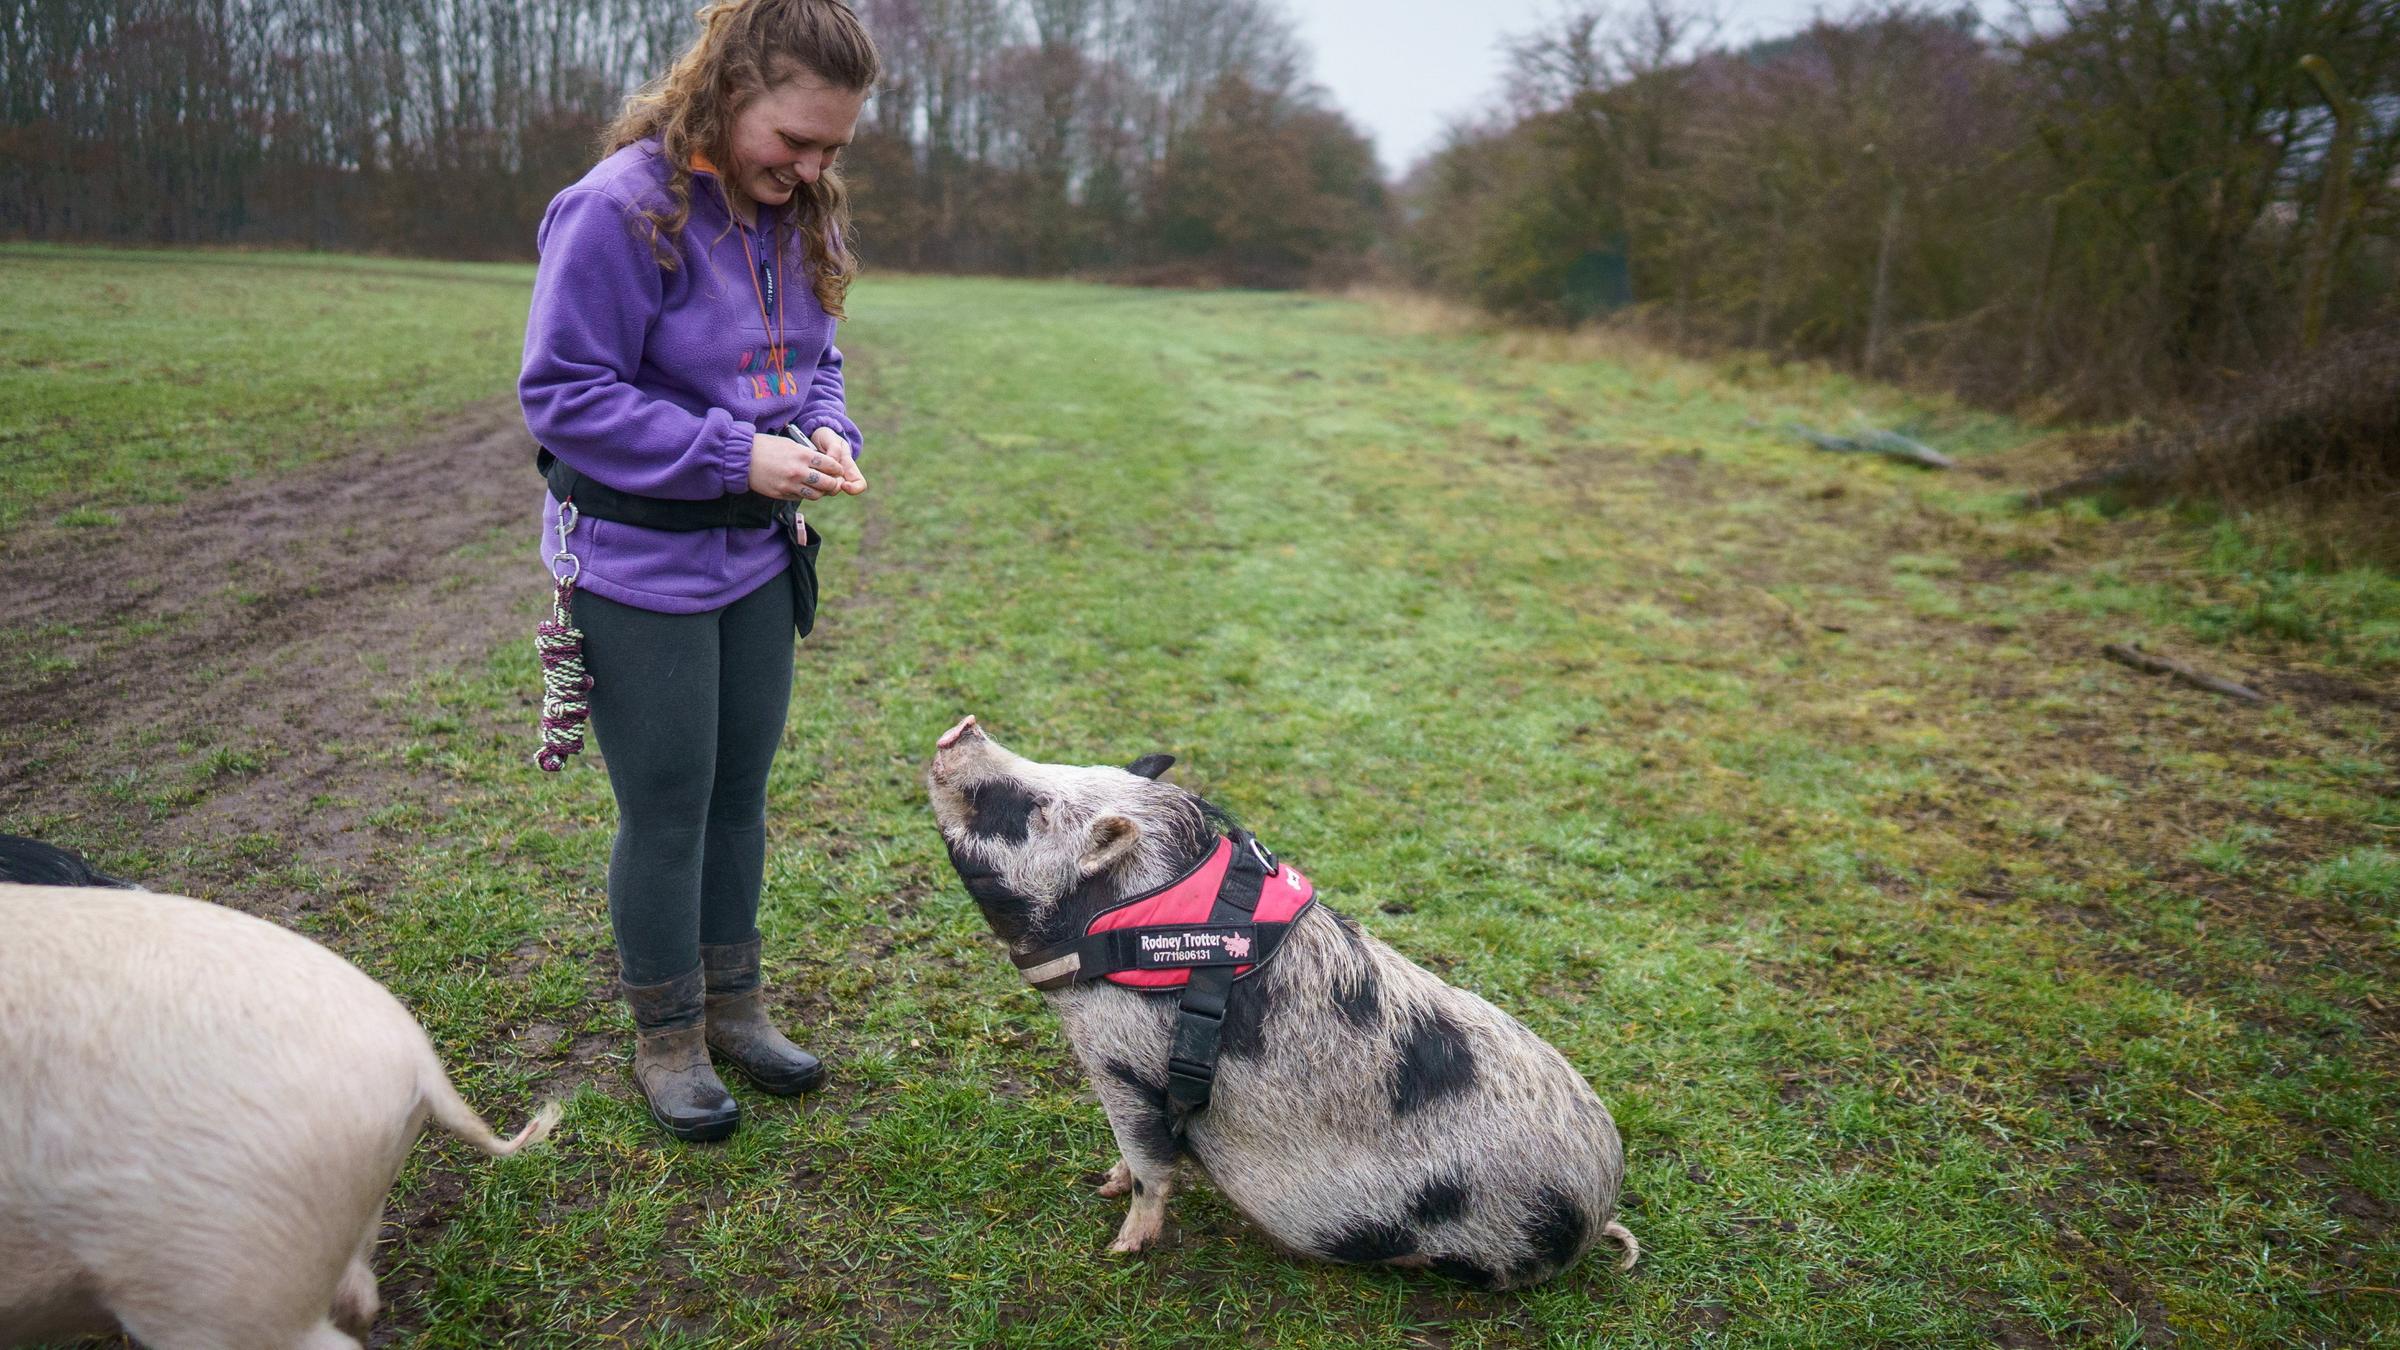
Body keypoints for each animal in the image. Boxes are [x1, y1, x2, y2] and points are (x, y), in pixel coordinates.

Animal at [926, 716, 1636, 1290]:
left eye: (1029, 804)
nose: (963, 726)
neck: (1122, 920)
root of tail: (1600, 1206)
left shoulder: (1121, 1063)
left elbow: (1153, 1164)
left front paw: (1120, 1249)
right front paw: (1104, 1182)